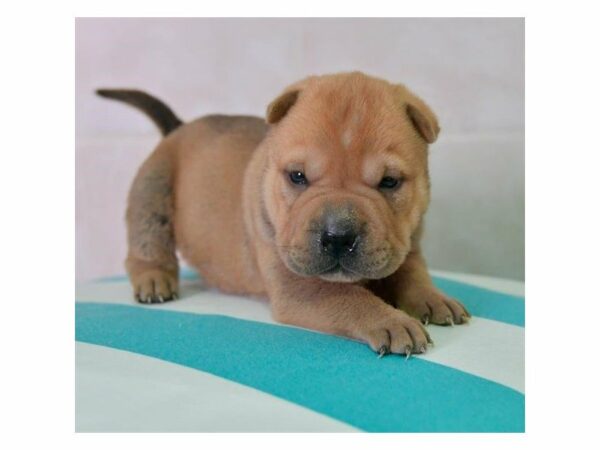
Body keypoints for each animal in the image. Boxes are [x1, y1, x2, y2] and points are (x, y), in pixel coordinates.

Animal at [98, 72, 472, 356]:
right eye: (297, 176)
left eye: (390, 182)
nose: (339, 236)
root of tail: (178, 128)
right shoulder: (296, 284)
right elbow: (349, 296)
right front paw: (392, 320)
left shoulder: (407, 248)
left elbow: (413, 274)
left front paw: (435, 299)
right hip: (152, 191)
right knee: (146, 243)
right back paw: (154, 280)